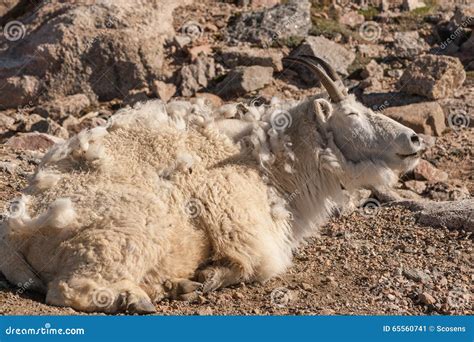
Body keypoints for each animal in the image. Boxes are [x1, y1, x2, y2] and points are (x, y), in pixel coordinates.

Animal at [0, 56, 422, 316]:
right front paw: (207, 277)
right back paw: (137, 297)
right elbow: (257, 264)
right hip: (125, 228)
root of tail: (15, 233)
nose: (415, 139)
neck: (262, 160)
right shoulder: (241, 221)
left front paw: (194, 280)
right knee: (67, 289)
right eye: (352, 115)